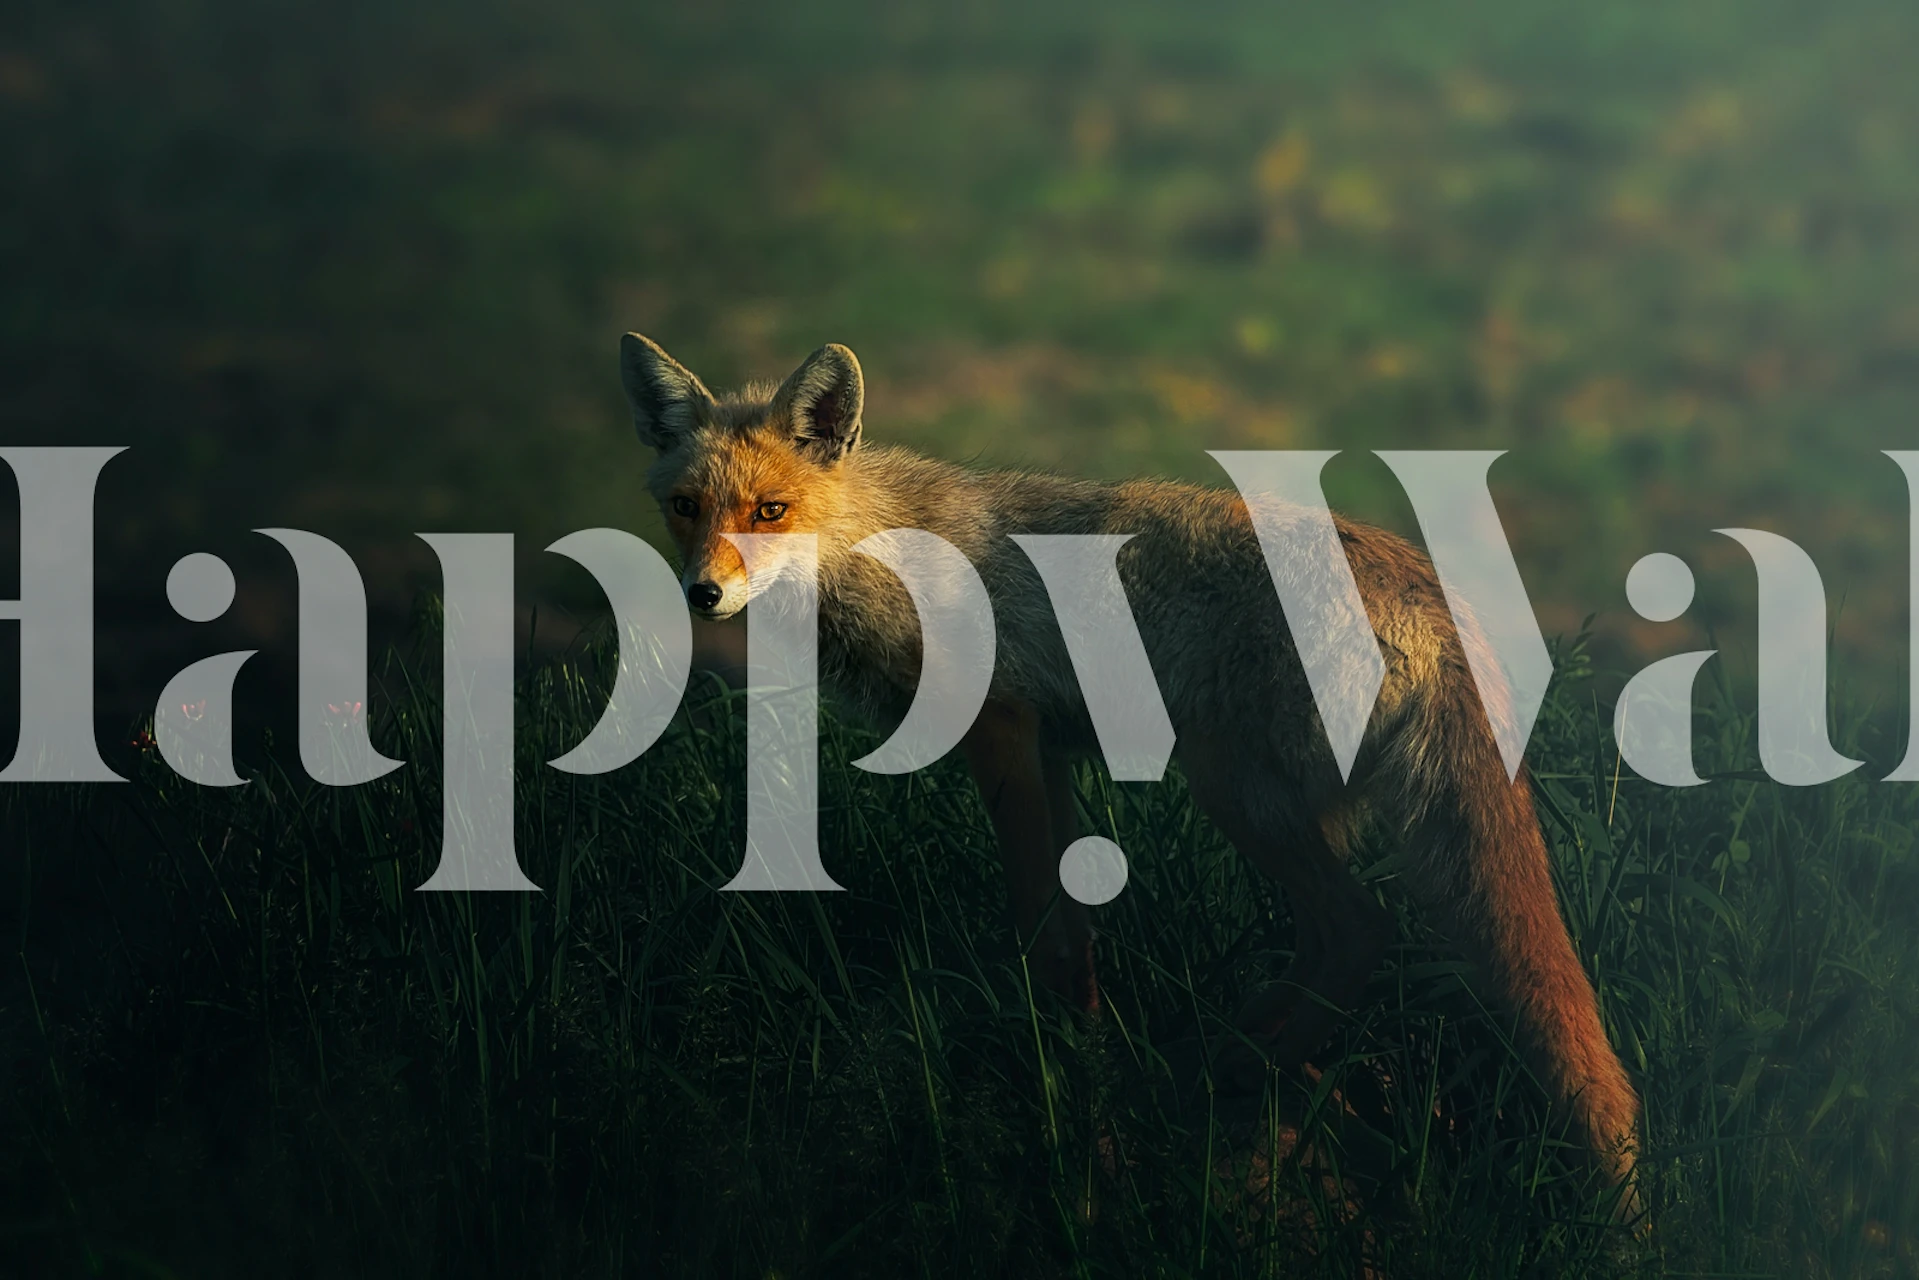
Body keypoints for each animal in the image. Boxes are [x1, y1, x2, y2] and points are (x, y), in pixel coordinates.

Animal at [619, 332, 1643, 1205]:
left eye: (770, 512)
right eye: (685, 509)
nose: (702, 595)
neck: (878, 551)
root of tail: (1432, 594)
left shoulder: (1000, 731)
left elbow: (1041, 929)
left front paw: (1064, 1086)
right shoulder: (1048, 751)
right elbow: (1075, 935)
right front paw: (1086, 1051)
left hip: (1231, 787)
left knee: (1357, 927)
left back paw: (1225, 1066)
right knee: (1335, 942)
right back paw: (1231, 1054)